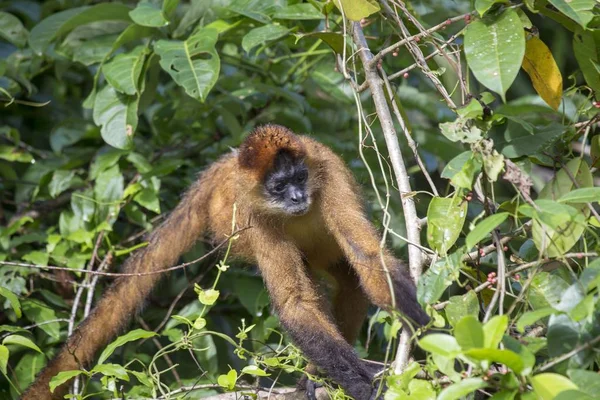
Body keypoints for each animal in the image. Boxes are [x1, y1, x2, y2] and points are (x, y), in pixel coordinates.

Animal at [22, 125, 426, 400]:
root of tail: (221, 169)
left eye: (299, 178)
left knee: (350, 276)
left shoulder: (326, 170)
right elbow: (296, 303)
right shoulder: (253, 211)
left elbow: (368, 257)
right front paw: (363, 385)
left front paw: (426, 330)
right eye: (279, 187)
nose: (297, 197)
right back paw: (318, 378)